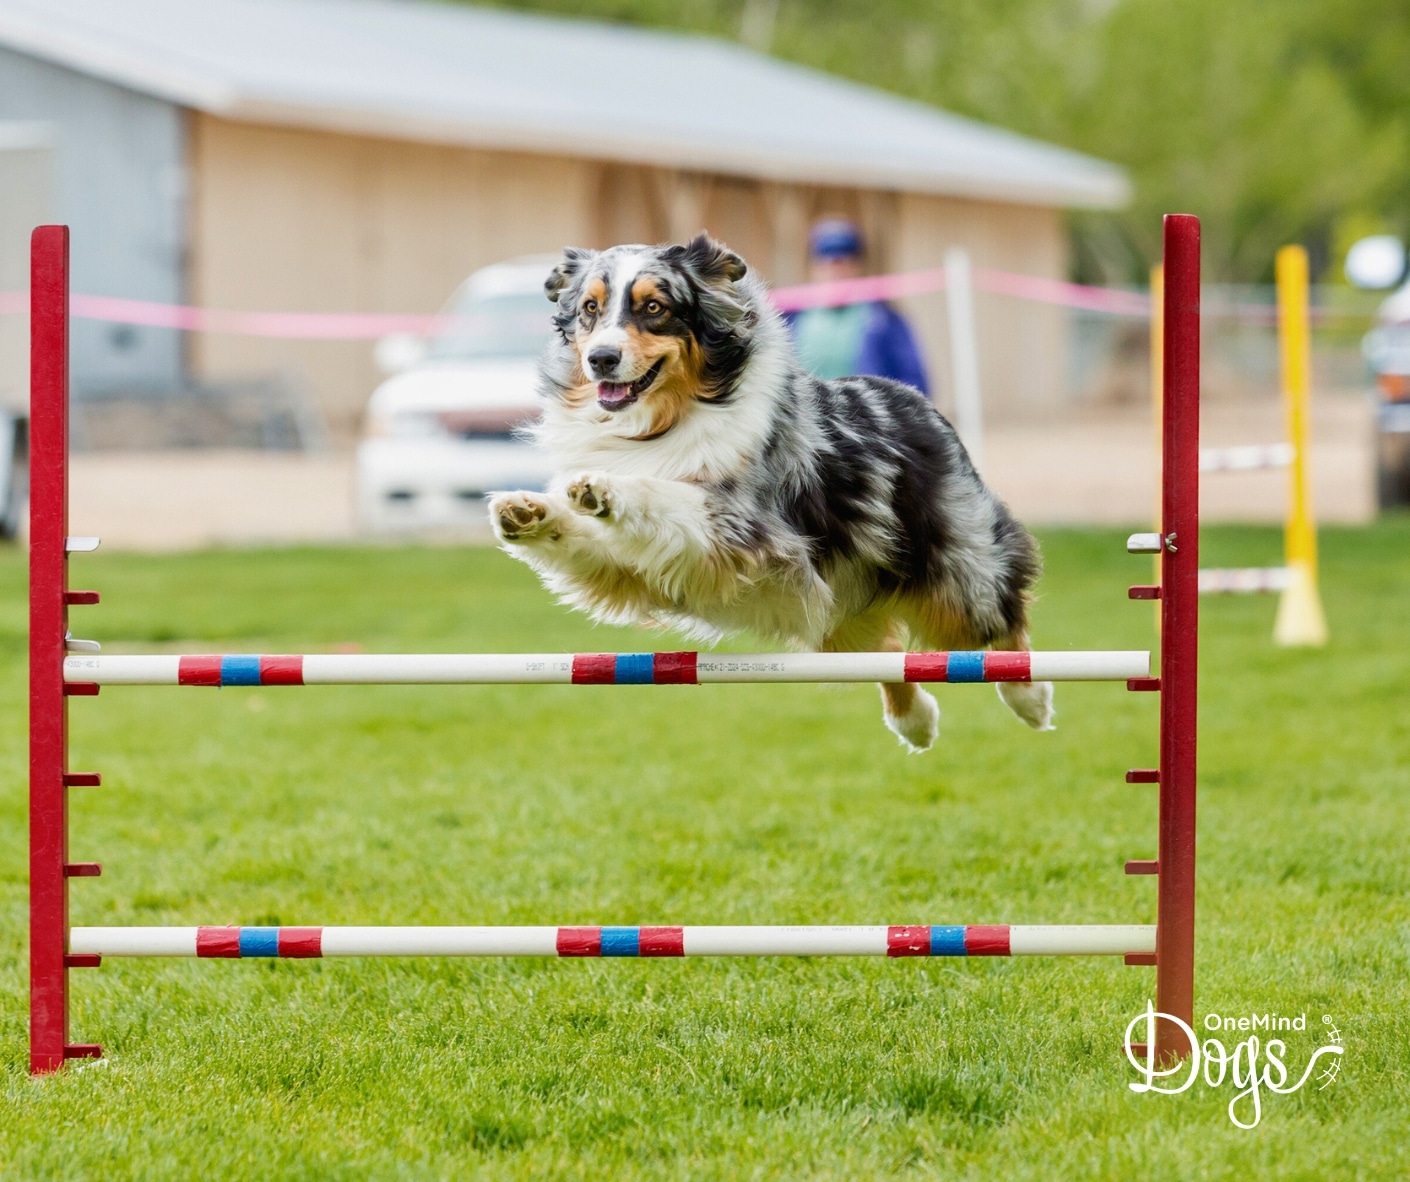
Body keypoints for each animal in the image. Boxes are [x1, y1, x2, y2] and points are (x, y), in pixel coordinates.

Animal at [490, 234, 1054, 750]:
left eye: (654, 308)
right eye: (591, 308)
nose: (602, 359)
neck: (660, 421)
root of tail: (918, 401)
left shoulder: (740, 527)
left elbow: (665, 492)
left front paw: (607, 488)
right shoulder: (631, 568)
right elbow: (583, 536)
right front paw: (528, 511)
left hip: (957, 574)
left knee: (999, 622)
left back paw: (1030, 697)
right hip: (841, 609)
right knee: (891, 651)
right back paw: (916, 723)